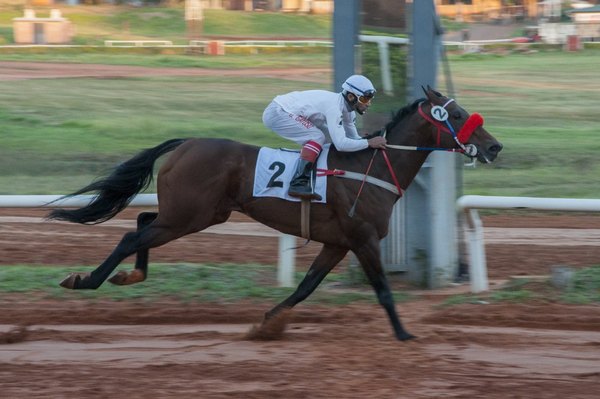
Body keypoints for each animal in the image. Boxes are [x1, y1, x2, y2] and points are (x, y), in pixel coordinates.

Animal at [49, 86, 504, 340]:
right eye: (457, 115)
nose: (495, 146)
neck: (371, 169)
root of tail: (186, 142)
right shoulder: (362, 238)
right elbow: (383, 290)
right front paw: (406, 334)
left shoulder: (338, 243)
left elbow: (306, 287)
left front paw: (267, 323)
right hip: (189, 216)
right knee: (132, 236)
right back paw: (86, 280)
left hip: (195, 213)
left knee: (143, 223)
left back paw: (129, 275)